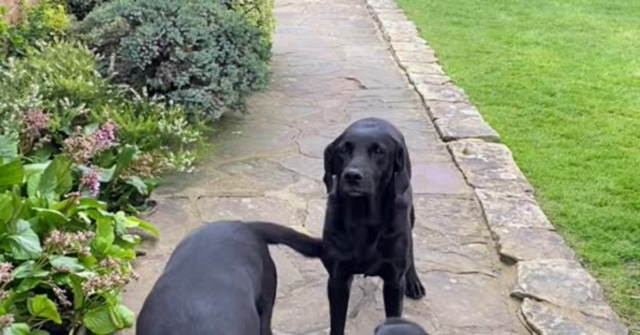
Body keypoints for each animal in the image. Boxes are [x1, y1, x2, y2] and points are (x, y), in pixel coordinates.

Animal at [320, 118, 424, 335]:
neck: (363, 218)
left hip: (410, 215)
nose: (352, 176)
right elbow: (337, 324)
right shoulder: (337, 279)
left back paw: (413, 281)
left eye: (378, 151)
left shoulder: (394, 282)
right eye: (343, 150)